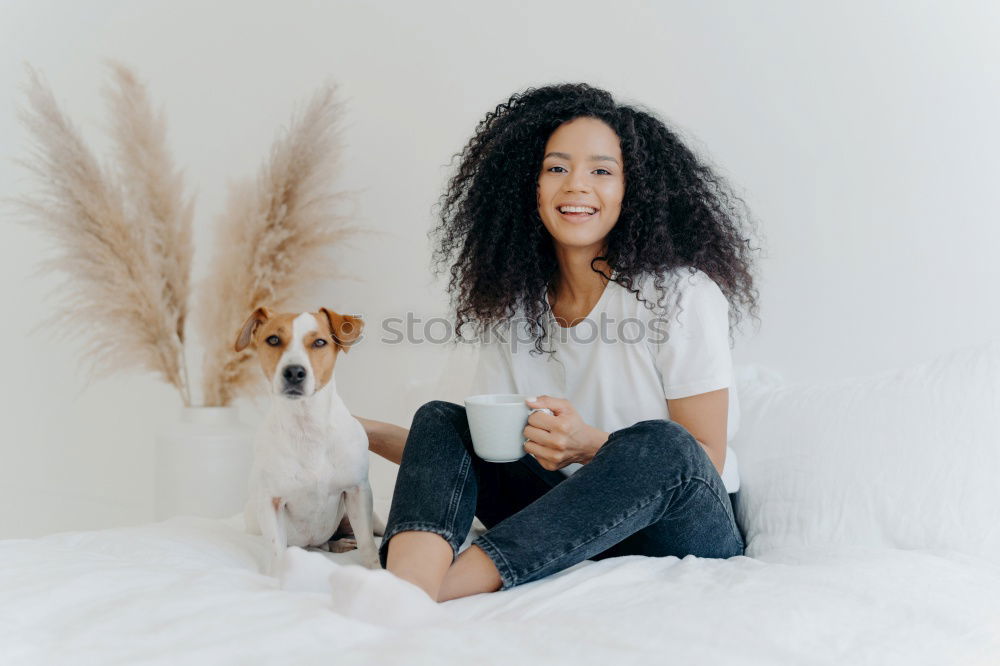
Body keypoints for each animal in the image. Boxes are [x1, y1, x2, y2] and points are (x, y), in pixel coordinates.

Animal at [238, 304, 386, 572]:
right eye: (273, 339)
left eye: (319, 342)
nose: (294, 372)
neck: (307, 426)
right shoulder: (270, 502)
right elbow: (277, 551)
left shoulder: (358, 492)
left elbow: (368, 543)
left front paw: (377, 573)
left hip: (368, 516)